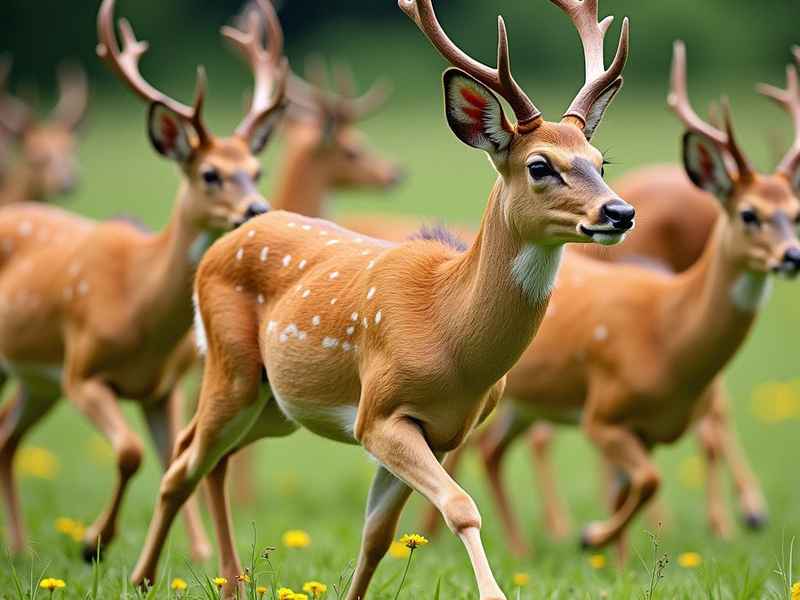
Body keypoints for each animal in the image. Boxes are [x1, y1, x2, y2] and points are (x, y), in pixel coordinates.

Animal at [129, 0, 633, 597]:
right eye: (539, 165)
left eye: (600, 161)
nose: (620, 212)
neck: (452, 334)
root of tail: (224, 241)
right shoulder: (378, 410)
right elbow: (460, 506)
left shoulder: (444, 431)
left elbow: (376, 535)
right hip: (232, 369)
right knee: (181, 465)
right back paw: (140, 576)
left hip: (274, 403)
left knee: (206, 457)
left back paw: (220, 579)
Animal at [426, 41, 800, 561]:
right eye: (749, 214)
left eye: (601, 162)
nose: (621, 213)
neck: (668, 335)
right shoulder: (602, 412)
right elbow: (648, 480)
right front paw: (591, 537)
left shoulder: (647, 427)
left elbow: (636, 487)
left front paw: (615, 558)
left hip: (524, 402)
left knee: (492, 451)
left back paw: (518, 548)